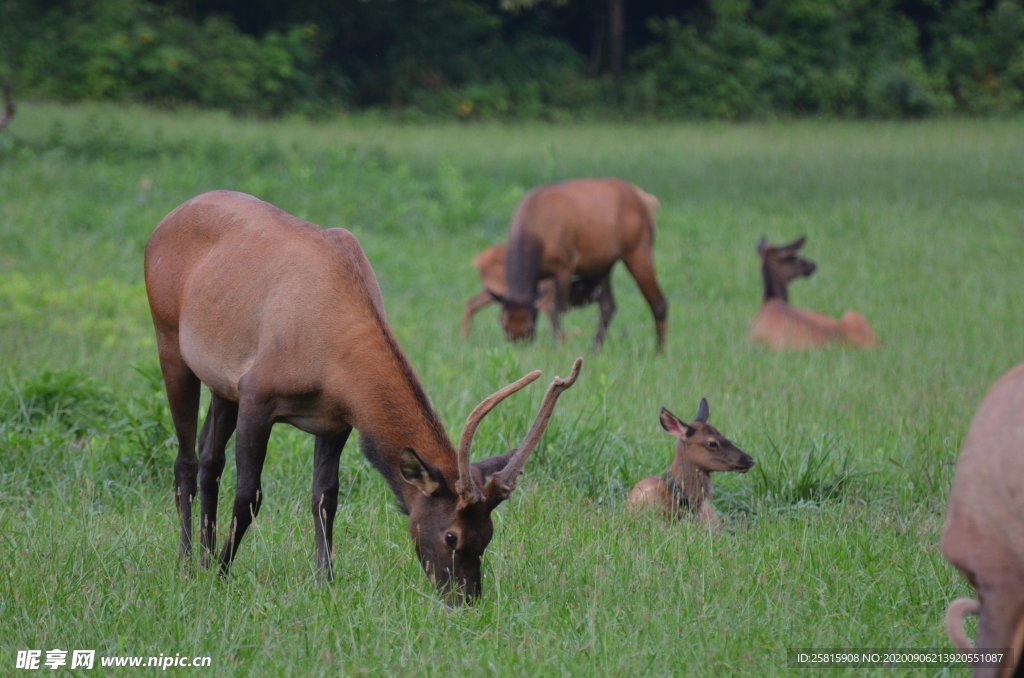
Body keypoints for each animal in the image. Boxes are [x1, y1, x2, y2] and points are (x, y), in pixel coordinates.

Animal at [148, 191, 589, 606]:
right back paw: (188, 562)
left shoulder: (336, 418)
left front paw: (324, 580)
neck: (334, 360)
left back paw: (202, 556)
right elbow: (249, 496)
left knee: (209, 456)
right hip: (170, 342)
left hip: (222, 383)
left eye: (489, 534)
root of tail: (164, 222)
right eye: (451, 536)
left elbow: (325, 496)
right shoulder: (258, 393)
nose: (466, 599)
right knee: (186, 460)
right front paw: (223, 573)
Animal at [497, 176, 671, 350]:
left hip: (638, 248)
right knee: (608, 305)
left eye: (527, 328)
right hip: (603, 264)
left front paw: (558, 345)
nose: (520, 347)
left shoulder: (564, 266)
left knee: (659, 302)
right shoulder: (538, 277)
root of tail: (648, 200)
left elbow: (557, 308)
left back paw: (659, 351)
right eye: (504, 327)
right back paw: (595, 349)